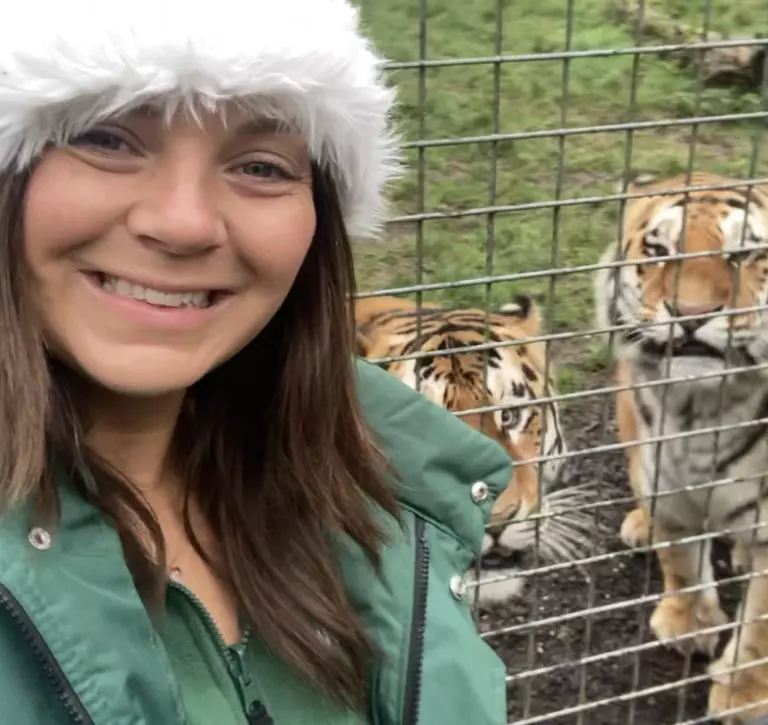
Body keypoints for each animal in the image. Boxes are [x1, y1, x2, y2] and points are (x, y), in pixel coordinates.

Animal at [596, 173, 768, 720]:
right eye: (658, 250)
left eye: (745, 253)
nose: (691, 315)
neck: (699, 410)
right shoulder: (660, 476)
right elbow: (682, 560)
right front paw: (687, 625)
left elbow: (761, 625)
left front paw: (743, 697)